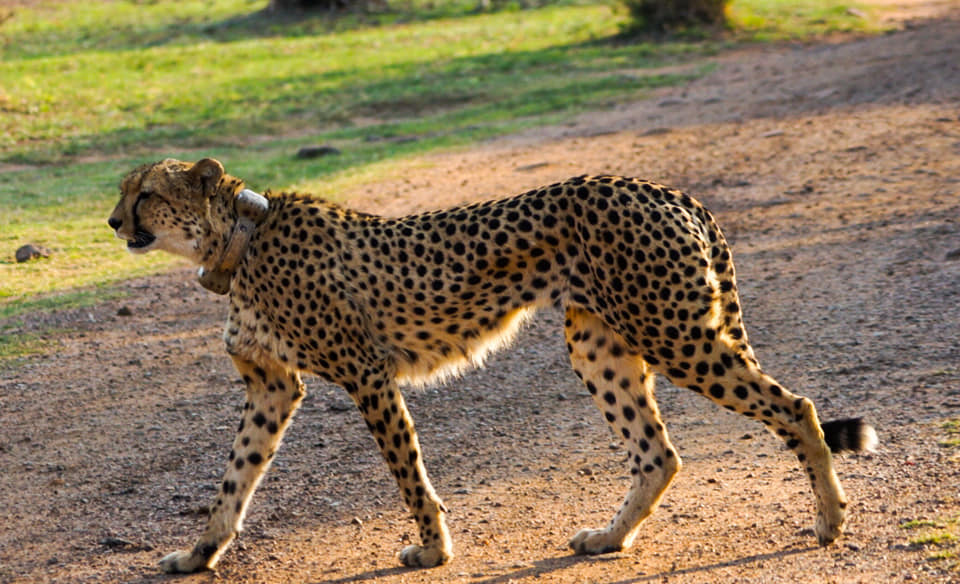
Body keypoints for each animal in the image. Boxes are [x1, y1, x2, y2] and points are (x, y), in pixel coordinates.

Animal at [108, 157, 877, 573]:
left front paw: (433, 550)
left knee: (795, 407)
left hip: (673, 331)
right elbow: (233, 481)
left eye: (147, 193)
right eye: (124, 190)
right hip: (597, 342)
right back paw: (609, 538)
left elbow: (408, 472)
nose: (114, 223)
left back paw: (830, 522)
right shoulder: (272, 386)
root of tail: (657, 187)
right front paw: (198, 556)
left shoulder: (366, 374)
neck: (237, 239)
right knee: (659, 453)